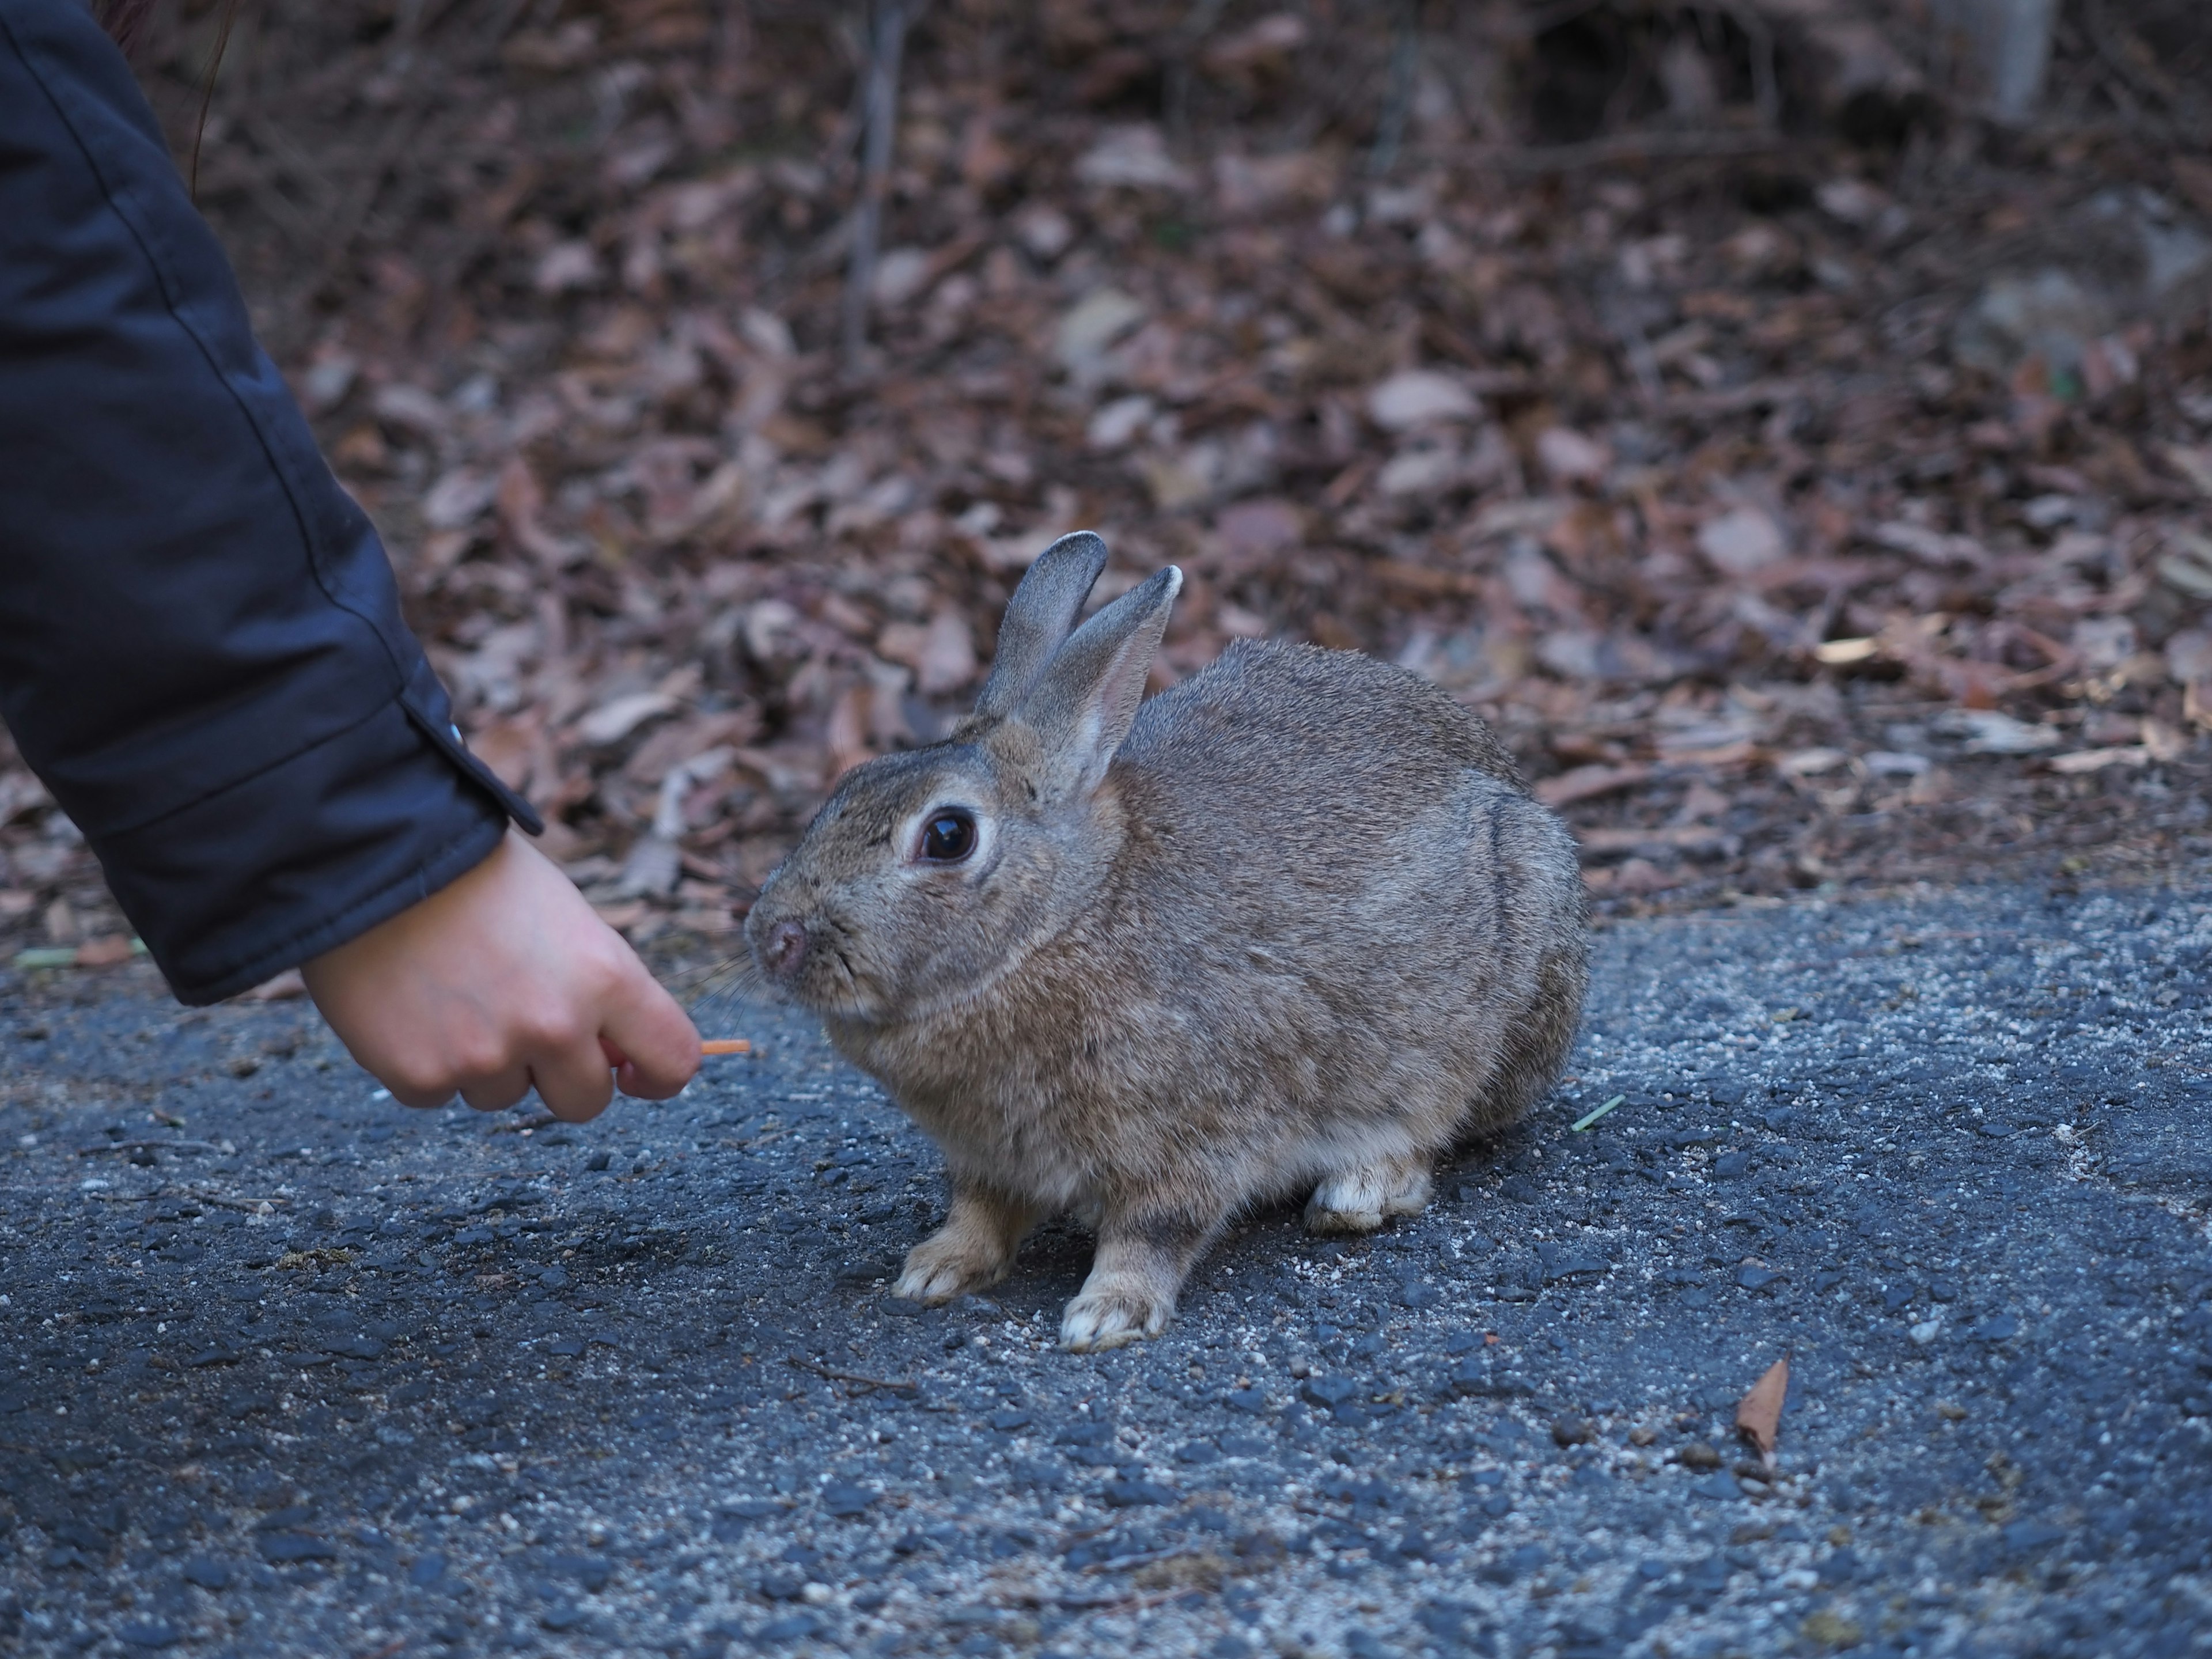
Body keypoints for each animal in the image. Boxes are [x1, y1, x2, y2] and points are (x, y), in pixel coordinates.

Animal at [747, 533, 1592, 1354]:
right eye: (848, 786)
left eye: (948, 836)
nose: (774, 940)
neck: (1063, 919)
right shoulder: (989, 1158)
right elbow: (980, 1212)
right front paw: (936, 1269)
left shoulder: (1196, 1132)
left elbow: (1154, 1231)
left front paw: (1107, 1315)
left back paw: (1360, 1193)